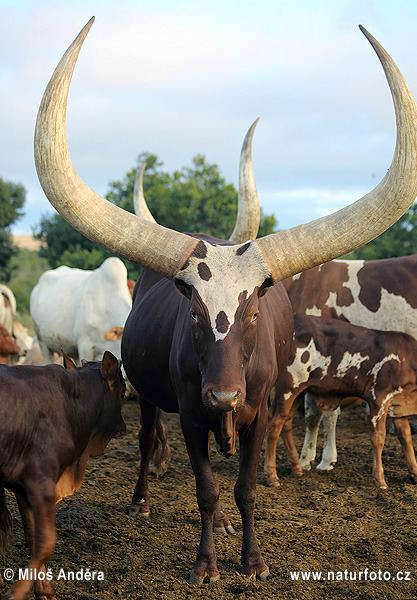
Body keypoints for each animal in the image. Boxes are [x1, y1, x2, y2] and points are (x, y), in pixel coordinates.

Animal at [0, 352, 125, 600]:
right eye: (123, 393)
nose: (124, 427)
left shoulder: (23, 489)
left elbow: (33, 538)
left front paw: (43, 589)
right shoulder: (41, 483)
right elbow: (46, 543)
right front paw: (19, 592)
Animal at [264, 316, 417, 490]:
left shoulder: (399, 407)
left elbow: (405, 437)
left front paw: (414, 473)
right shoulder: (379, 399)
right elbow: (378, 438)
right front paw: (380, 481)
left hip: (299, 391)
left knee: (286, 423)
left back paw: (297, 469)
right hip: (287, 388)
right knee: (274, 425)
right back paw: (272, 477)